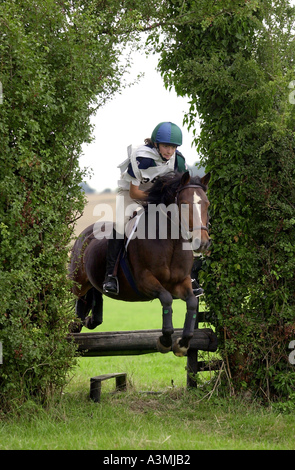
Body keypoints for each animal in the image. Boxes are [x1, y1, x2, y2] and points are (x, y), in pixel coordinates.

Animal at [70, 171, 210, 358]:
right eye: (185, 205)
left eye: (207, 204)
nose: (202, 243)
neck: (171, 243)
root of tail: (85, 234)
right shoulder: (144, 280)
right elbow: (166, 299)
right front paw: (165, 340)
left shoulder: (182, 282)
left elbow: (192, 302)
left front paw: (182, 343)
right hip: (77, 283)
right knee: (77, 303)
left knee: (92, 302)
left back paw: (90, 320)